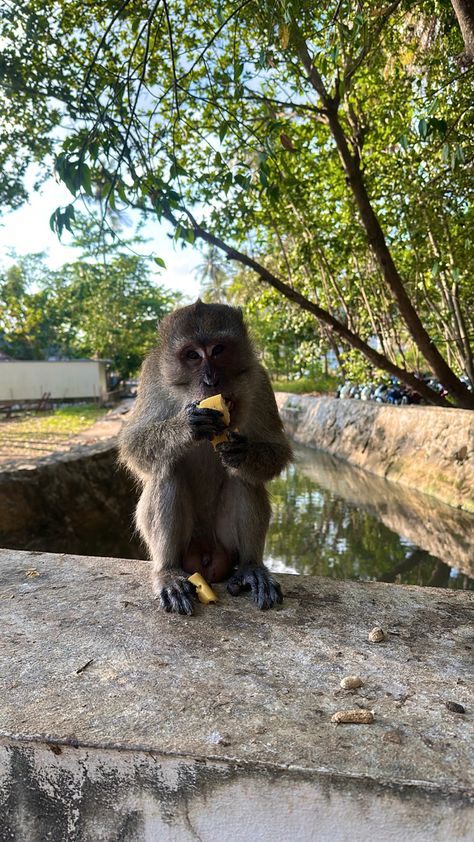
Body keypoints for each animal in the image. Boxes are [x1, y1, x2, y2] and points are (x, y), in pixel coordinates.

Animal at [117, 298, 292, 612]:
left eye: (218, 350)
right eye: (192, 355)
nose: (211, 380)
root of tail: (207, 554)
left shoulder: (259, 380)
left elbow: (276, 448)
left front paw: (243, 452)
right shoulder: (151, 377)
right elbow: (132, 444)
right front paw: (186, 426)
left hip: (225, 543)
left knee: (244, 479)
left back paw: (251, 567)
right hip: (187, 548)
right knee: (166, 471)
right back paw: (168, 572)